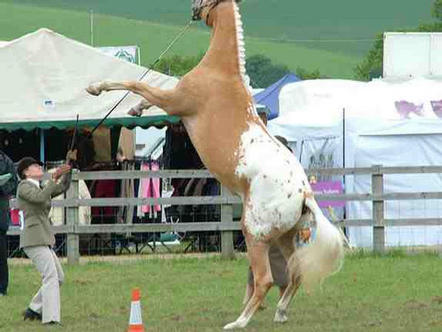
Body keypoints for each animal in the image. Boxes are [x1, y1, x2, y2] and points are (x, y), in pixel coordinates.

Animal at [85, 0, 342, 328]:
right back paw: (280, 313)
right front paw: (134, 108)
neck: (220, 71)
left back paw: (239, 322)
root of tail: (303, 194)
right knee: (294, 274)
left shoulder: (176, 102)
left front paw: (96, 87)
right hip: (284, 237)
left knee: (265, 279)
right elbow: (145, 90)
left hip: (254, 233)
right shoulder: (173, 102)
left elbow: (137, 83)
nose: (192, 9)